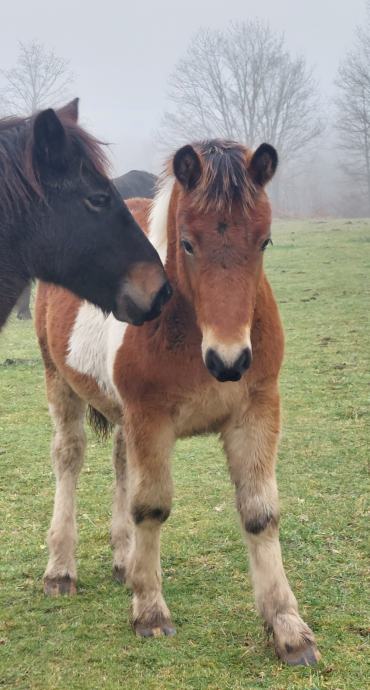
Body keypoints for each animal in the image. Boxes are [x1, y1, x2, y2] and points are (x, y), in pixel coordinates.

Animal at [34, 138, 318, 660]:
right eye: (187, 243)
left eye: (264, 241)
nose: (229, 361)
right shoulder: (151, 417)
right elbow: (152, 507)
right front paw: (150, 612)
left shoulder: (257, 410)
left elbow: (260, 513)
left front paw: (288, 627)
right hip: (59, 381)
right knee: (69, 457)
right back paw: (61, 569)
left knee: (120, 462)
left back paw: (124, 561)